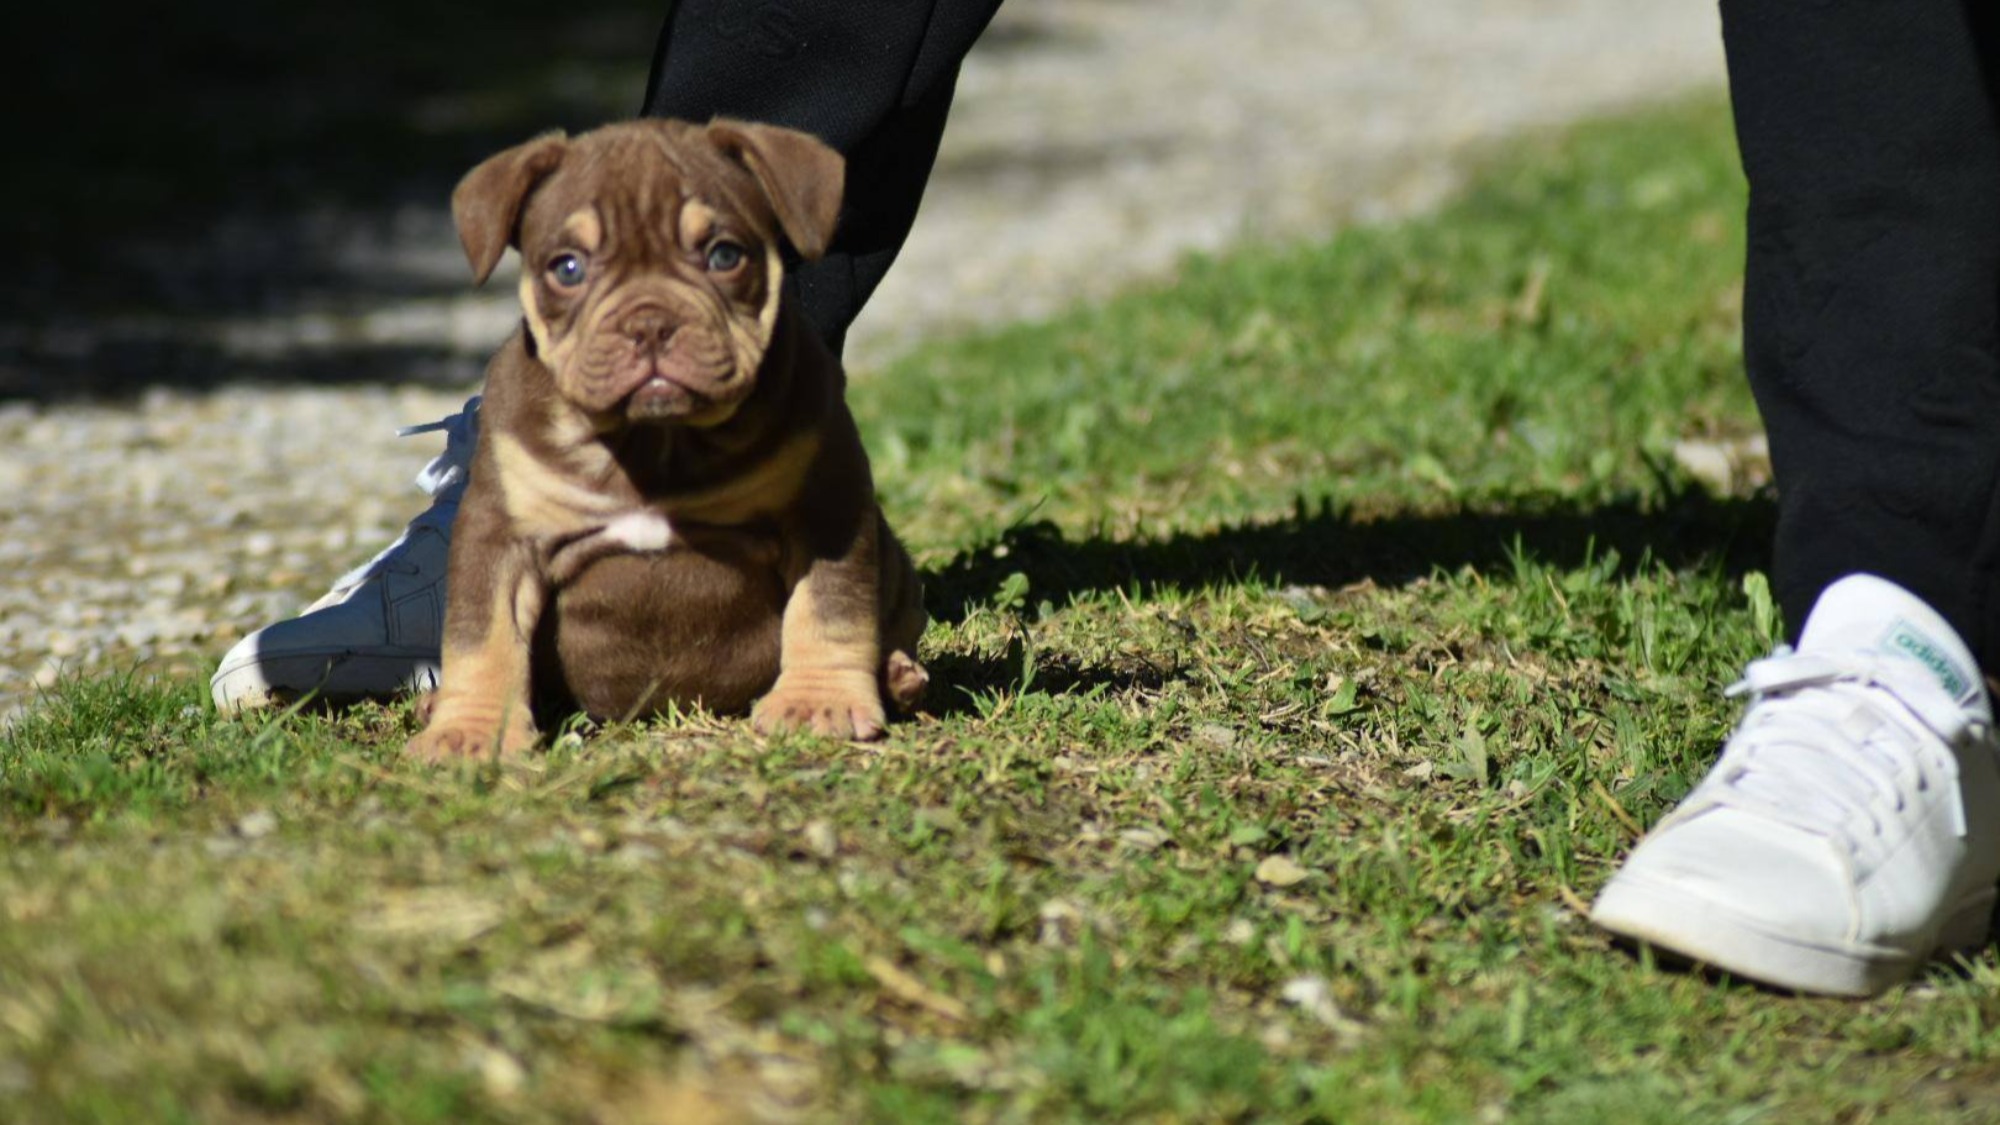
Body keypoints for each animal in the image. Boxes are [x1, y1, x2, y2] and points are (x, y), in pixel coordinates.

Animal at [412, 118, 936, 756]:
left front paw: (818, 701)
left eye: (724, 255)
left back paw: (897, 674)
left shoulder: (826, 506)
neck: (657, 440)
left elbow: (829, 608)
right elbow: (483, 636)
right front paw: (470, 732)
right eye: (567, 268)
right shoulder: (500, 534)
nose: (650, 323)